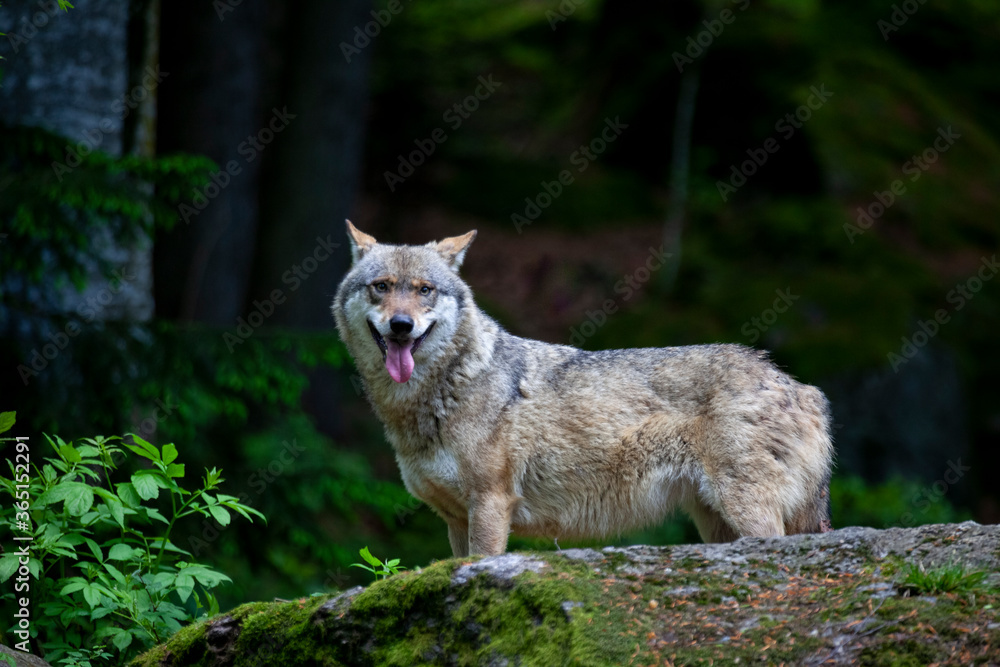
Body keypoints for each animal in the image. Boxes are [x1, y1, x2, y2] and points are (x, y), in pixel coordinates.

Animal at [332, 221, 834, 557]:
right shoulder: (456, 519)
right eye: (381, 287)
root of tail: (801, 388)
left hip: (747, 512)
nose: (401, 326)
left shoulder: (491, 505)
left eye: (425, 290)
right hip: (716, 525)